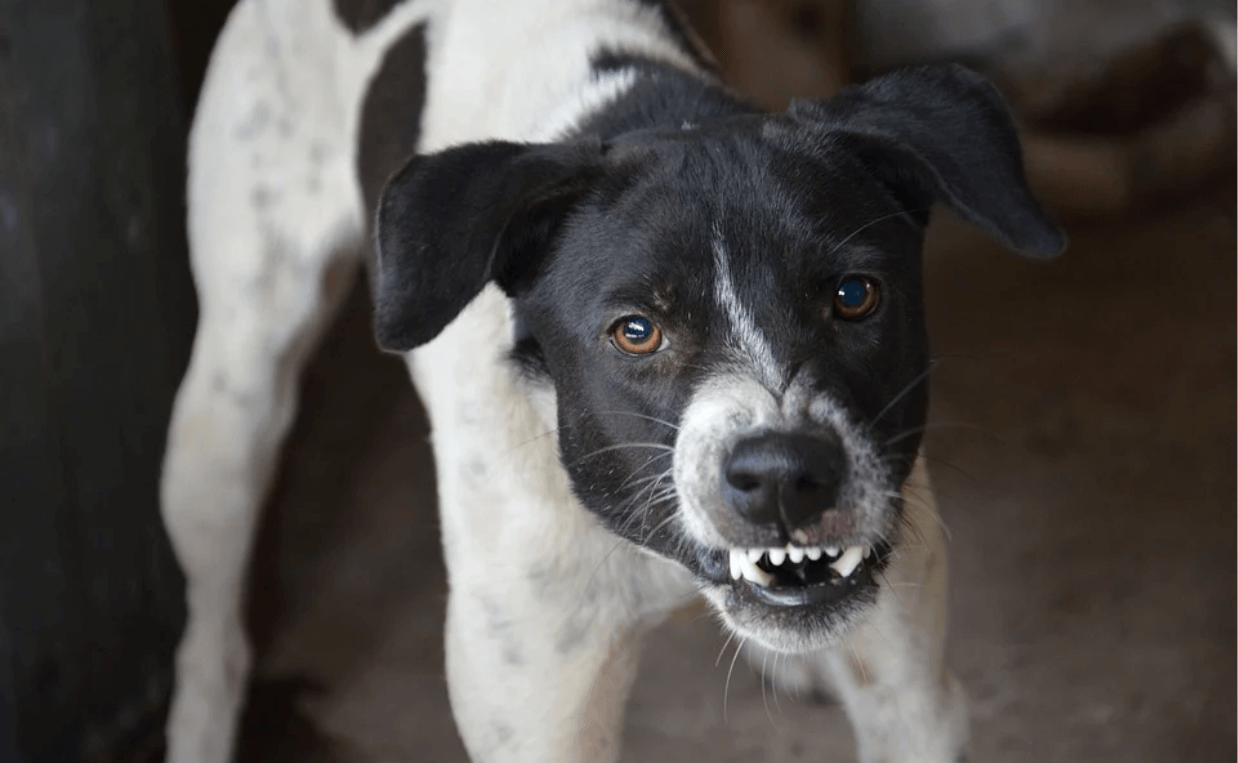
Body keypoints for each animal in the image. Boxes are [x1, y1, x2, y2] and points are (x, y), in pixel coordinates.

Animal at [157, 1, 1064, 763]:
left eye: (854, 295)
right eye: (635, 330)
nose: (784, 475)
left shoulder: (912, 699)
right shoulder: (539, 717)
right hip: (230, 404)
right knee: (212, 629)